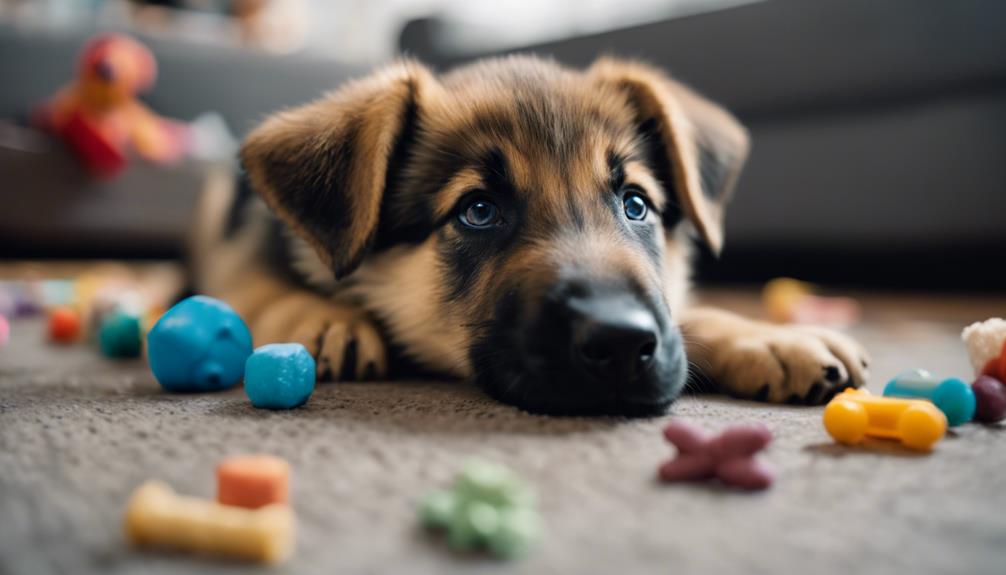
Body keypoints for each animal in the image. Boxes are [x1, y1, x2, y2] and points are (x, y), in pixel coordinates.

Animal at [194, 56, 865, 416]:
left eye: (636, 205)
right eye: (478, 211)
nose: (623, 343)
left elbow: (688, 314)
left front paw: (769, 338)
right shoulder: (244, 253)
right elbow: (256, 290)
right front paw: (321, 316)